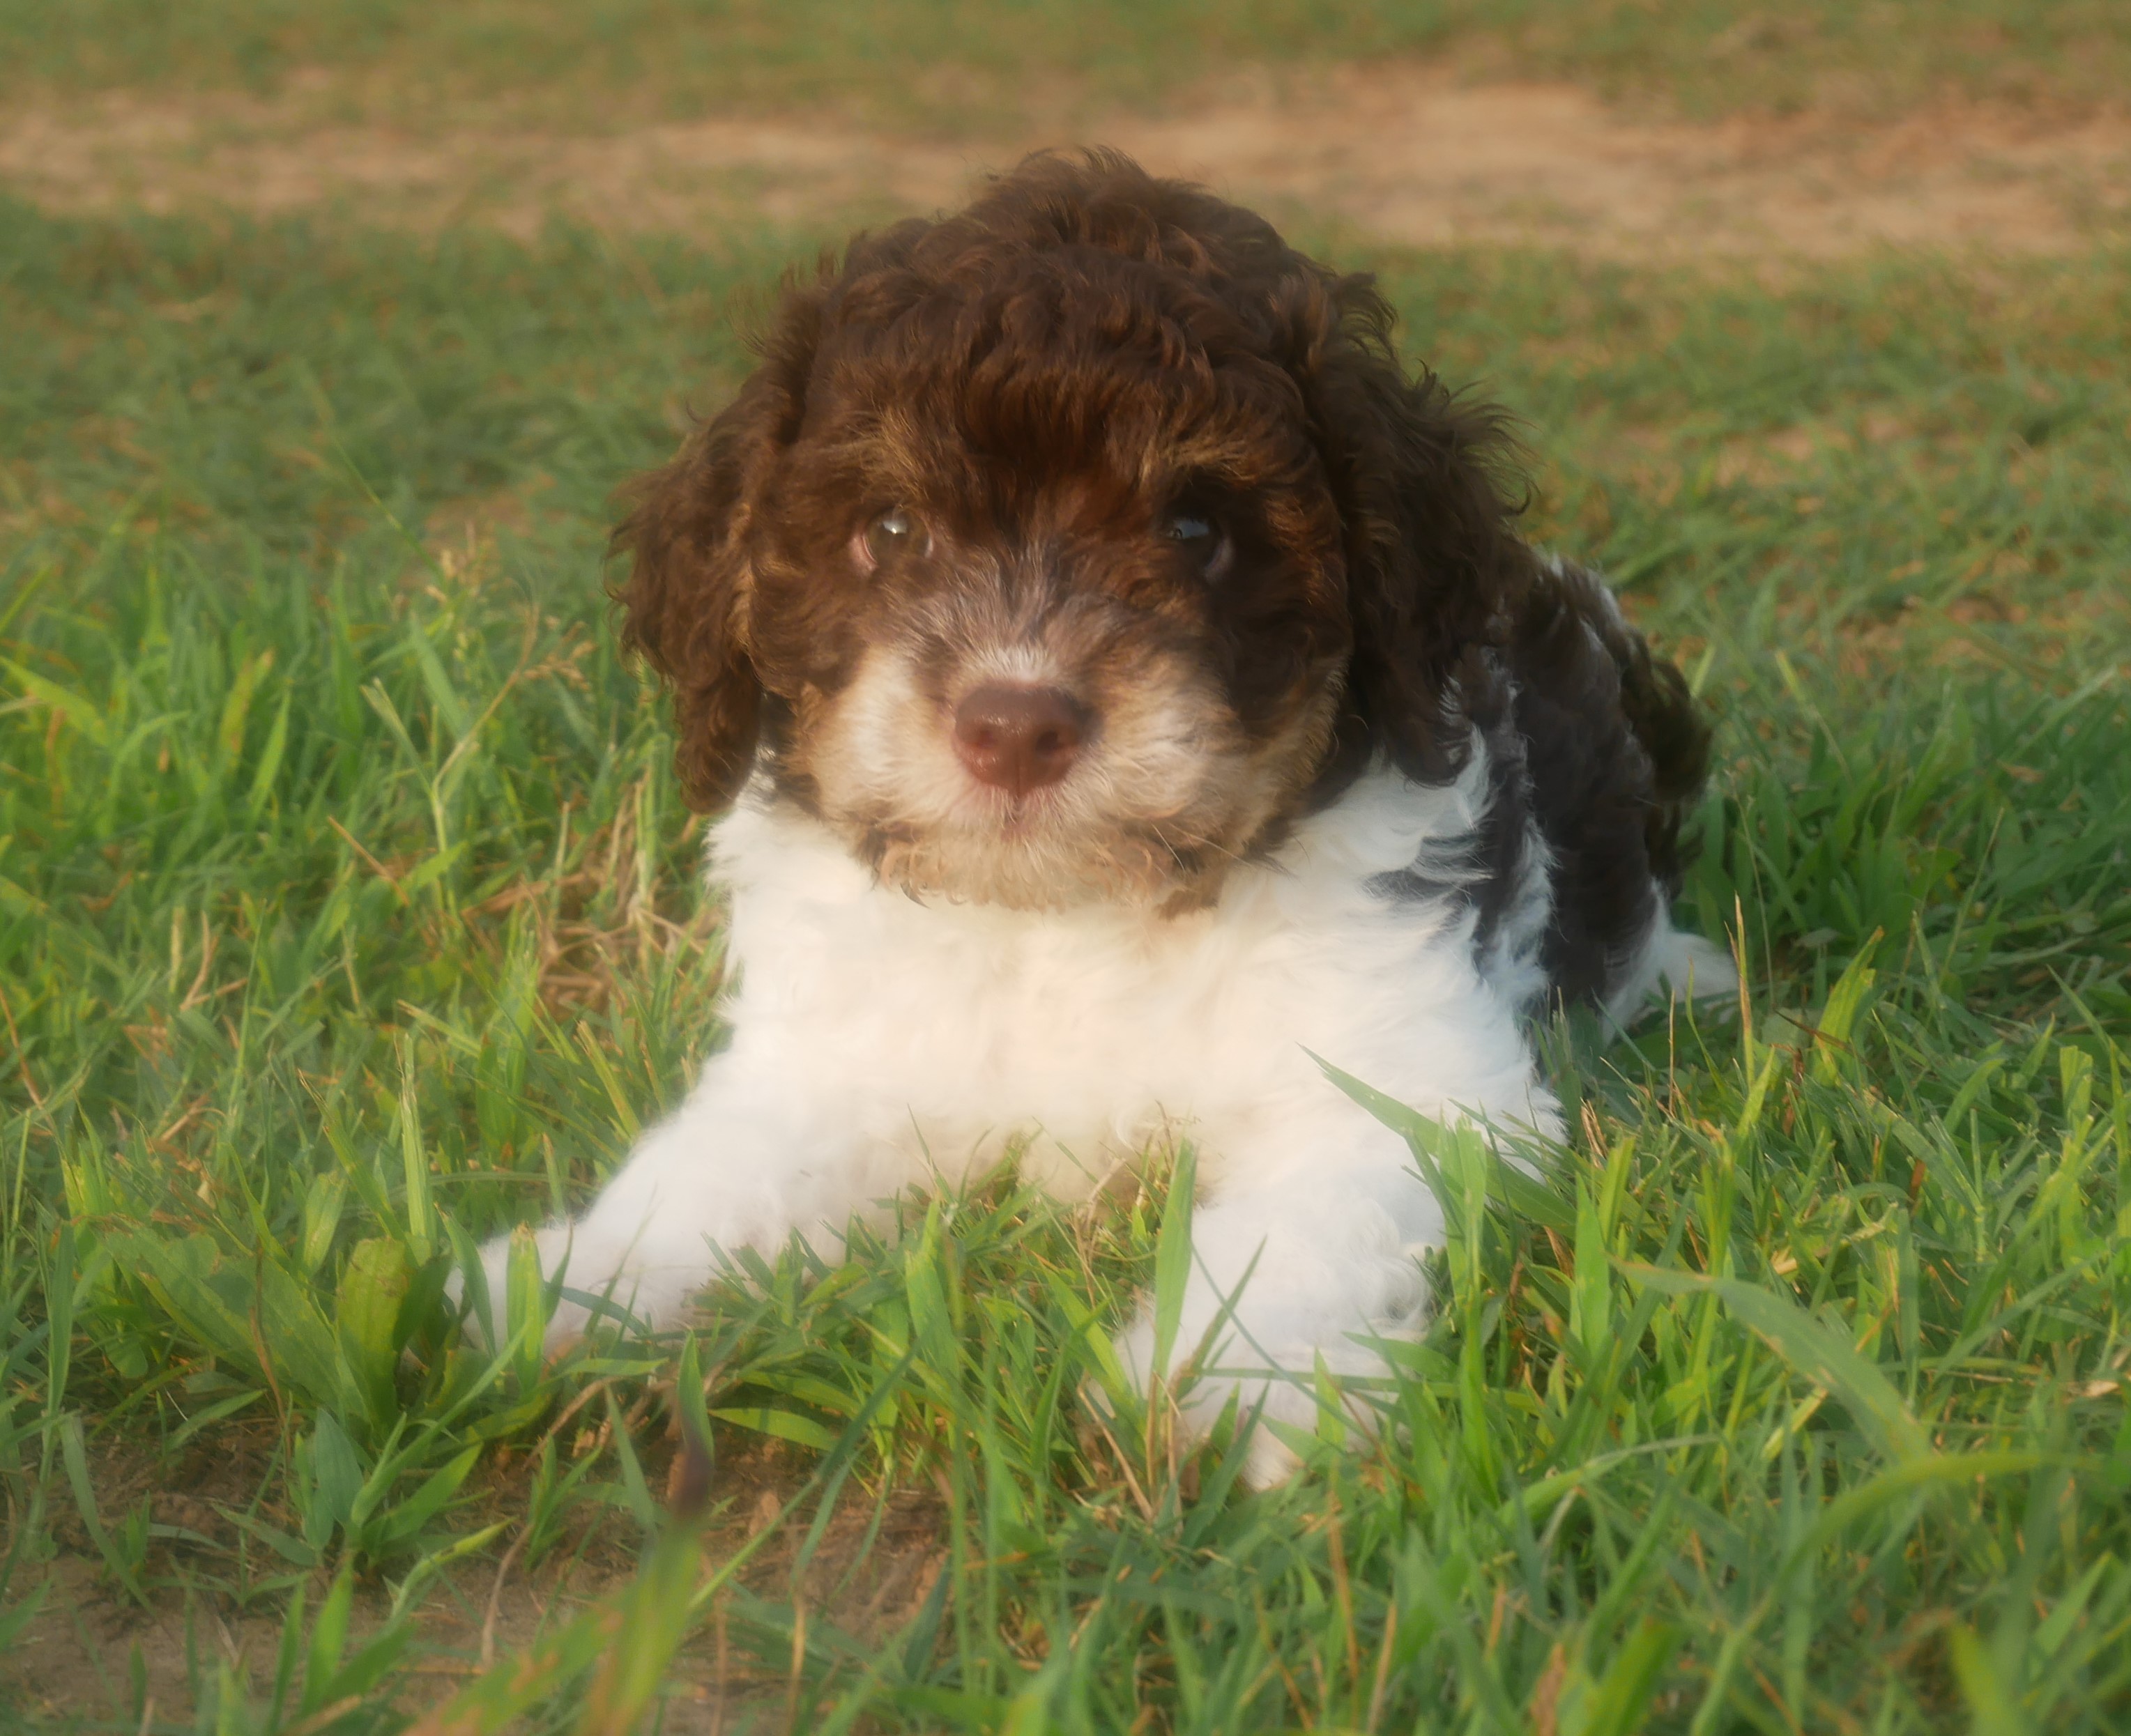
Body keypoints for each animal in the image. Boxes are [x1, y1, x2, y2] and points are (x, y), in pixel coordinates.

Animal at [470, 149, 1731, 1485]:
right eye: (890, 529)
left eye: (1195, 528)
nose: (1015, 725)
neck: (1066, 915)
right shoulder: (826, 1055)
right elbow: (718, 1169)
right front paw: (572, 1288)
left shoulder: (1409, 1085)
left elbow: (1307, 1221)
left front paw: (1231, 1375)